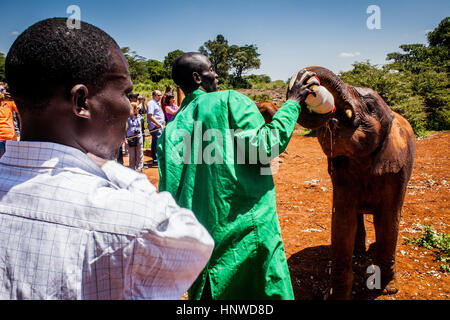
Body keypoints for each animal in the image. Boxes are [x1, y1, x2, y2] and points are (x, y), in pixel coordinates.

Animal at [288, 67, 414, 300]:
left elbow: (388, 220)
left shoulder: (397, 170)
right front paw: (335, 296)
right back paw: (358, 251)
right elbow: (342, 221)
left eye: (370, 106)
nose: (309, 81)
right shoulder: (340, 173)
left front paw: (388, 289)